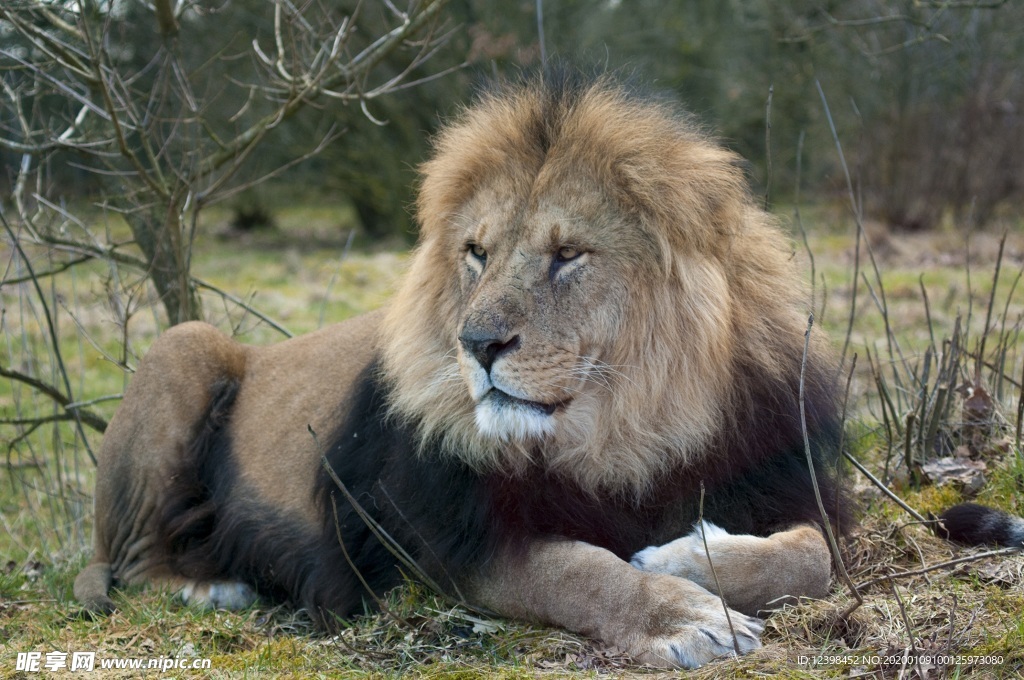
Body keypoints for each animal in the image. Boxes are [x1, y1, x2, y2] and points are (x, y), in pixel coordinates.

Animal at [75, 70, 851, 667]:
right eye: (477, 252)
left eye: (567, 254)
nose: (475, 343)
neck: (625, 431)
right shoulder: (439, 540)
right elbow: (577, 572)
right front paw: (682, 615)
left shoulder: (776, 475)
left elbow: (813, 555)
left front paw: (686, 553)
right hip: (185, 345)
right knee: (131, 561)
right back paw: (212, 587)